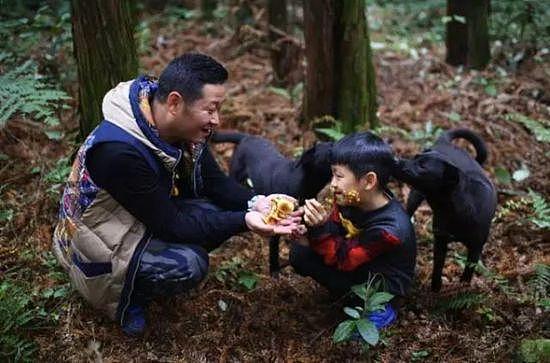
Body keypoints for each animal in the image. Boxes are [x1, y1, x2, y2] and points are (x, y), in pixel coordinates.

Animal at [210, 131, 332, 272]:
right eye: (329, 154)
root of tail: (247, 137)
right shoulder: (275, 232)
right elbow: (274, 253)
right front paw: (275, 271)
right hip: (235, 176)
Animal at [394, 129, 498, 292]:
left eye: (423, 166)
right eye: (415, 157)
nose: (395, 160)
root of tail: (445, 142)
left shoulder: (476, 248)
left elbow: (468, 272)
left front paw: (463, 288)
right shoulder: (440, 241)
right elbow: (437, 267)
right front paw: (435, 290)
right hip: (415, 195)